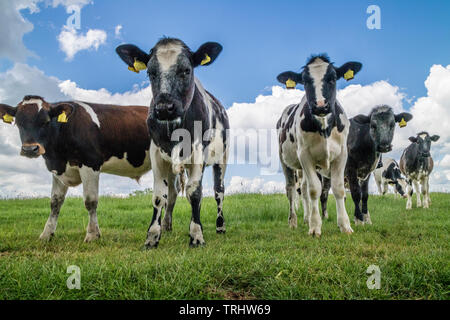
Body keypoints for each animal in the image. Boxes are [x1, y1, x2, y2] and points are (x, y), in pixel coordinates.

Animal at [0, 96, 166, 241]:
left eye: (46, 121)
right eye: (17, 122)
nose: (30, 149)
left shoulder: (90, 164)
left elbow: (90, 201)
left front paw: (92, 235)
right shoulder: (58, 170)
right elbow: (55, 202)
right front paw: (46, 234)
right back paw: (166, 227)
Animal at [116, 37, 229, 248]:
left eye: (186, 70)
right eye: (150, 72)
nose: (164, 108)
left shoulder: (198, 153)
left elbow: (195, 192)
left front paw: (196, 234)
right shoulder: (157, 153)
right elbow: (160, 196)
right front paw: (153, 236)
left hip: (222, 158)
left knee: (219, 191)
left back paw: (220, 226)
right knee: (173, 191)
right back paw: (167, 225)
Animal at [274, 54, 362, 235]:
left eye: (333, 78)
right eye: (305, 81)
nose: (321, 106)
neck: (324, 127)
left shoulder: (342, 154)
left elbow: (338, 188)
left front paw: (345, 225)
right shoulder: (304, 155)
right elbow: (315, 189)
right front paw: (315, 227)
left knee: (304, 189)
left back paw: (307, 218)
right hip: (285, 160)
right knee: (291, 189)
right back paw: (293, 221)